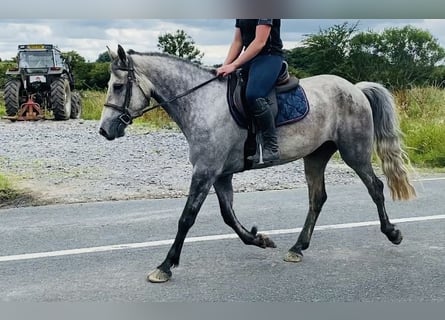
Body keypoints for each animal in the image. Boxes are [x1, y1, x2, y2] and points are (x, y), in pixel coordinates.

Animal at [99, 44, 414, 282]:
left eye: (118, 86)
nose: (105, 130)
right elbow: (228, 216)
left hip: (354, 153)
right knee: (317, 198)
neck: (202, 103)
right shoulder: (220, 175)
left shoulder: (205, 171)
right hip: (316, 156)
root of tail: (355, 88)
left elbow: (187, 217)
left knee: (375, 187)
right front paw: (260, 239)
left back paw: (393, 233)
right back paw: (297, 247)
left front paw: (165, 266)